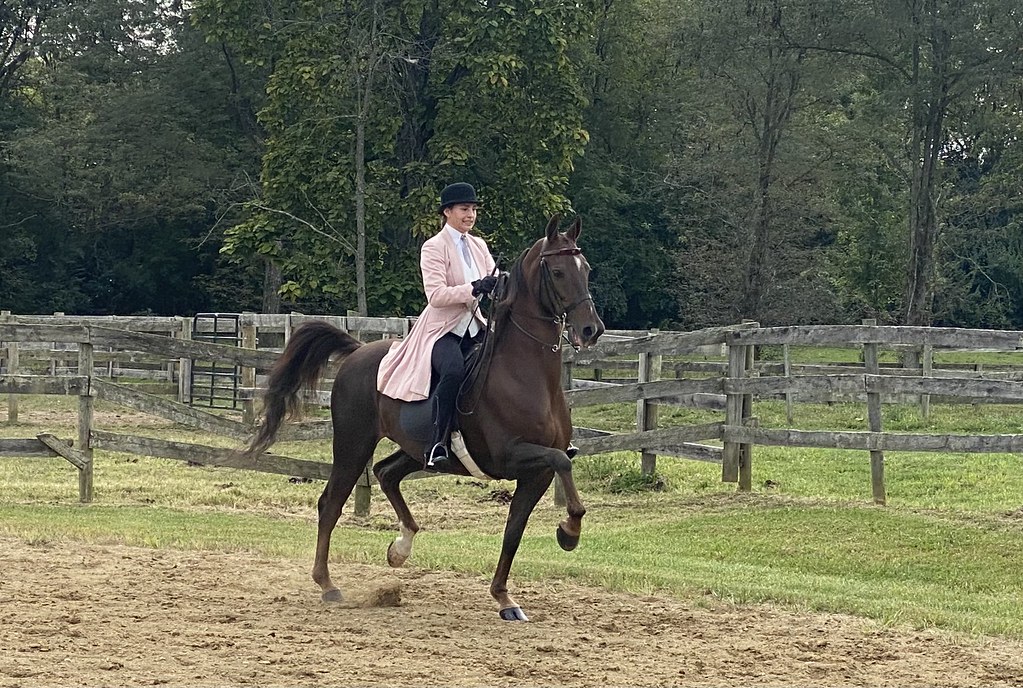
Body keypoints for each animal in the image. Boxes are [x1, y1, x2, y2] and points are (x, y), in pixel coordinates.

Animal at [241, 214, 605, 621]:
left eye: (586, 269)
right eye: (557, 271)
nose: (591, 329)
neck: (526, 374)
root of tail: (358, 352)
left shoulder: (535, 474)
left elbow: (515, 528)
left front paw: (505, 597)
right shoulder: (511, 455)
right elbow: (562, 463)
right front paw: (568, 533)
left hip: (417, 450)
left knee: (385, 473)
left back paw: (400, 547)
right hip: (353, 444)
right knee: (331, 502)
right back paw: (327, 584)